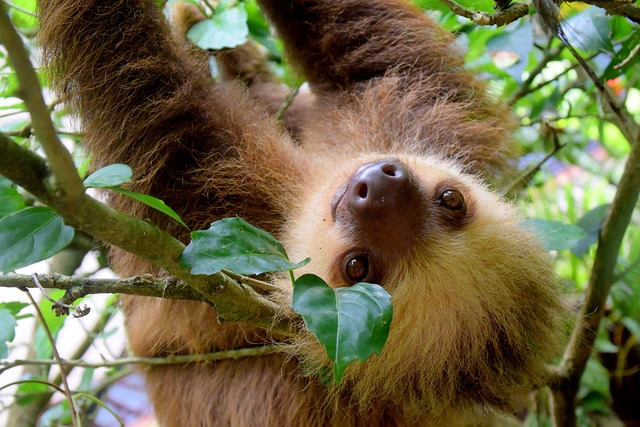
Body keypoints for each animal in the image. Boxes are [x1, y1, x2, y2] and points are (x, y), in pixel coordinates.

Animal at [37, 0, 567, 425]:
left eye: (358, 267)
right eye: (452, 200)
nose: (379, 187)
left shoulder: (219, 230)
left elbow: (153, 104)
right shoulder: (412, 119)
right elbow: (366, 59)